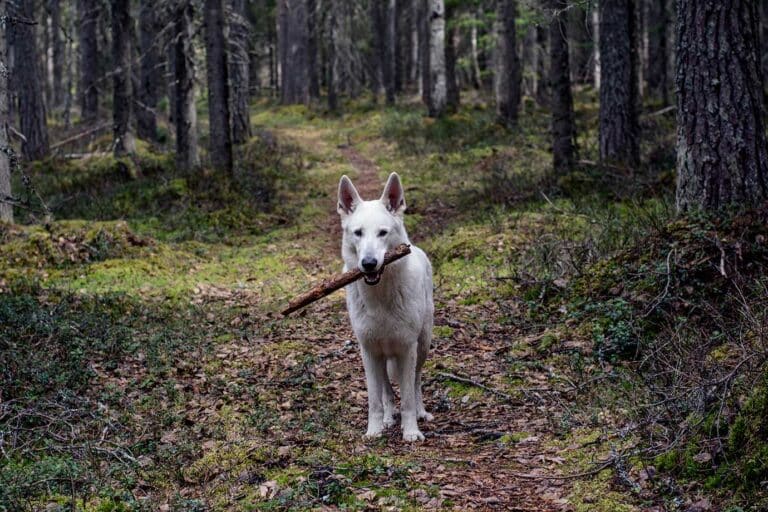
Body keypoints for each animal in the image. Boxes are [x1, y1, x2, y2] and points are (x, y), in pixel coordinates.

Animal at [336, 174, 432, 442]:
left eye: (382, 233)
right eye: (358, 233)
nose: (368, 263)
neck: (379, 297)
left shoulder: (408, 349)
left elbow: (407, 396)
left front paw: (411, 431)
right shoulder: (368, 351)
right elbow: (375, 400)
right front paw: (374, 429)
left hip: (423, 344)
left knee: (417, 382)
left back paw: (421, 412)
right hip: (381, 356)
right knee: (387, 390)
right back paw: (389, 418)